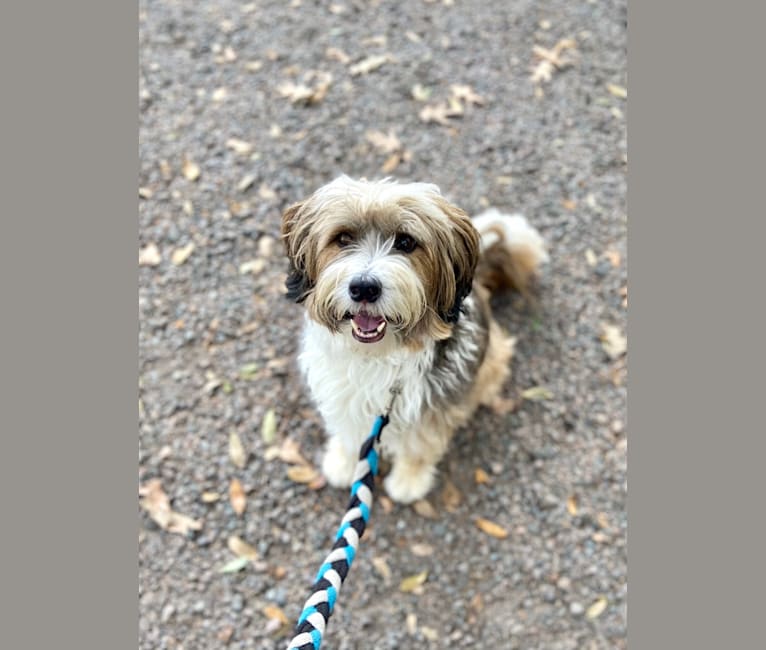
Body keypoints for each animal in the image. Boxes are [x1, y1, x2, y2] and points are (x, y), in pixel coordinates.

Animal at [280, 175, 544, 504]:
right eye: (342, 238)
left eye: (406, 242)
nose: (364, 287)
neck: (375, 357)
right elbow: (349, 429)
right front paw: (343, 462)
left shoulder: (430, 409)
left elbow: (420, 443)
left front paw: (409, 479)